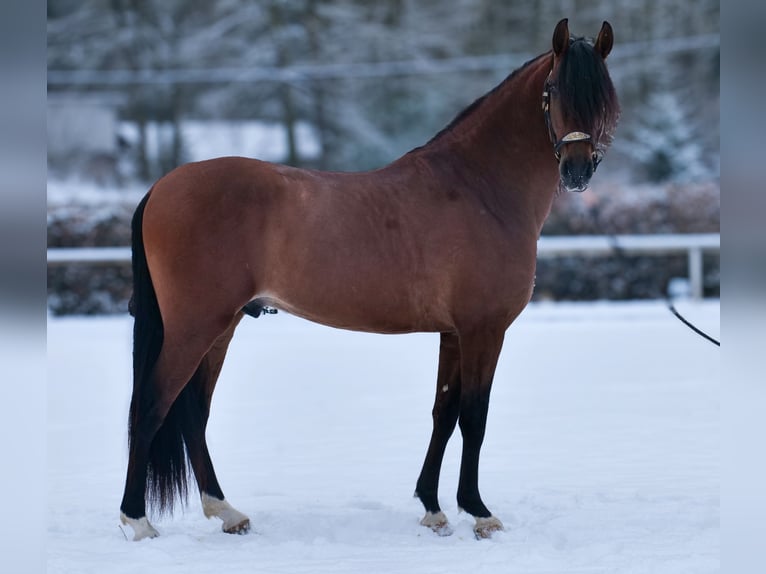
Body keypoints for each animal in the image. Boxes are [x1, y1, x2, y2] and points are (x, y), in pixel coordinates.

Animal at [119, 18, 619, 541]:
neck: (479, 189)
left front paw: (433, 508)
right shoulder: (484, 330)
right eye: (556, 89)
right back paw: (138, 521)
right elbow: (474, 418)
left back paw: (227, 512)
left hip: (222, 325)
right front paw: (478, 511)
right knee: (151, 406)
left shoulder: (453, 334)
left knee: (193, 413)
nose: (578, 170)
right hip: (195, 326)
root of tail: (161, 188)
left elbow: (444, 414)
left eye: (604, 94)